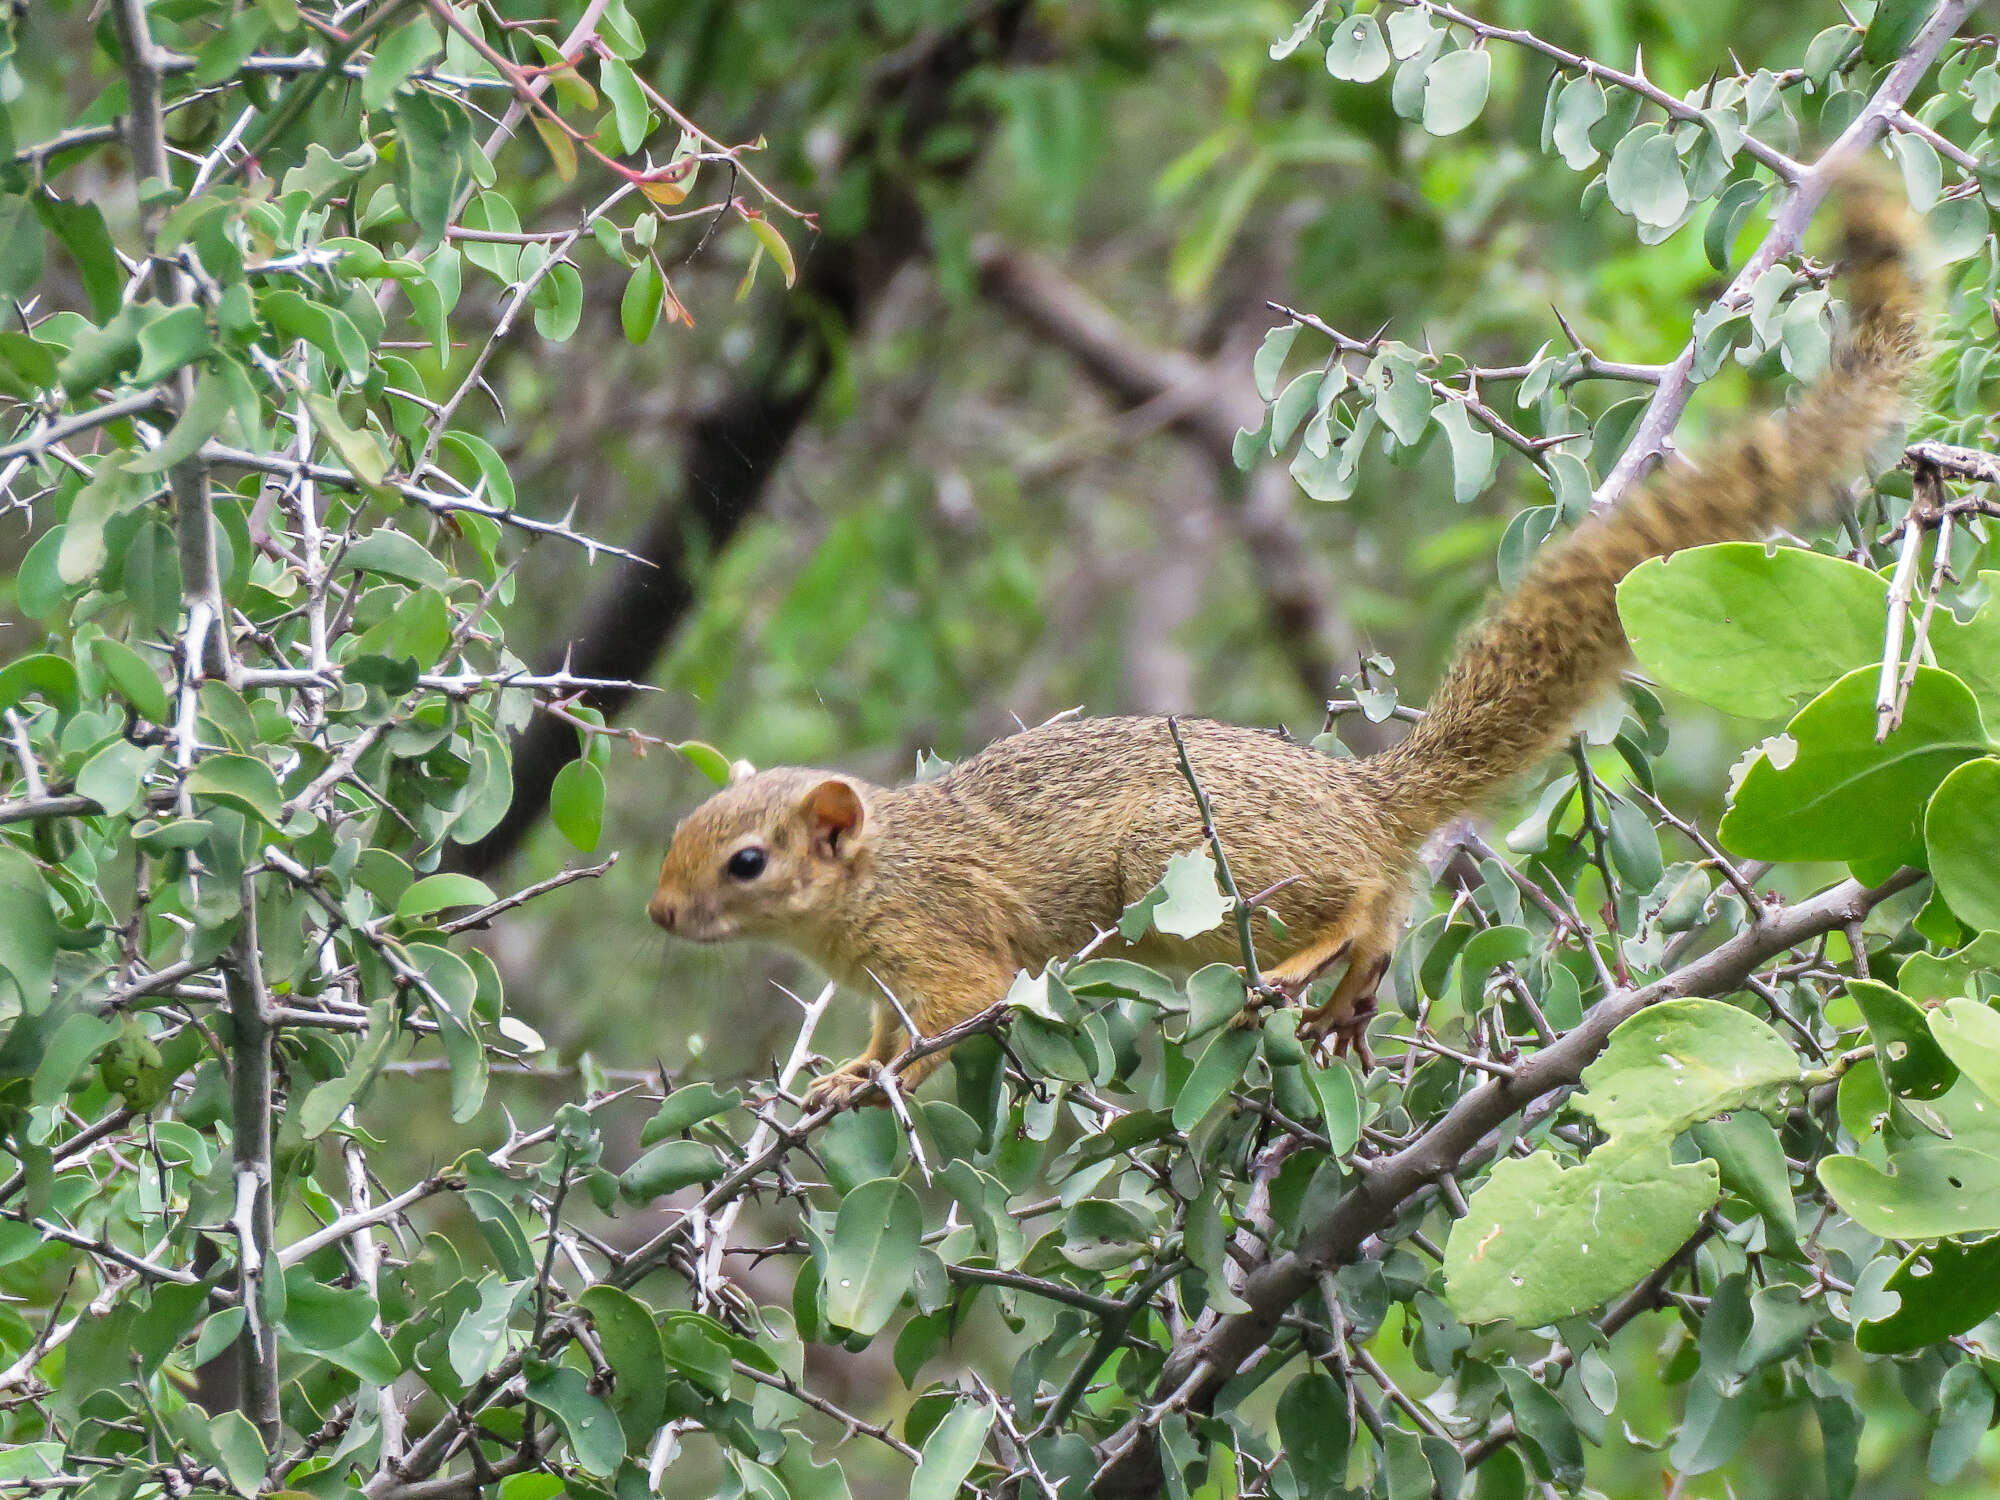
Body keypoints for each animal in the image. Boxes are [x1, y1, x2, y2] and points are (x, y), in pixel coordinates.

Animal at [648, 173, 1928, 1120]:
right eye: (679, 835)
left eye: (745, 862)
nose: (659, 917)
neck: (869, 880)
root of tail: (1362, 802)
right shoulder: (883, 980)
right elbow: (879, 1035)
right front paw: (846, 1071)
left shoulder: (940, 944)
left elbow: (950, 1019)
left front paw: (873, 1086)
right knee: (1389, 910)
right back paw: (1348, 997)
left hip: (1190, 872)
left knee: (1353, 902)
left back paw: (1308, 966)